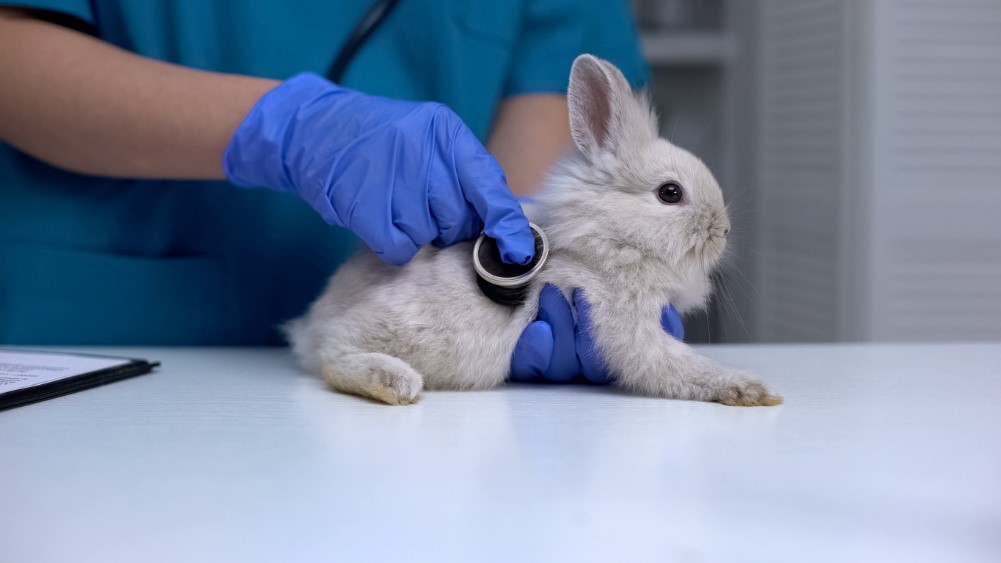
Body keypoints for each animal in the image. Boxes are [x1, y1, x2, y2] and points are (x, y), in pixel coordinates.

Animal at [284, 54, 780, 404]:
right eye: (670, 193)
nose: (723, 230)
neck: (611, 237)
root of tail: (313, 324)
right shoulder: (623, 323)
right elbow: (676, 365)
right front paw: (751, 390)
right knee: (335, 358)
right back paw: (395, 384)